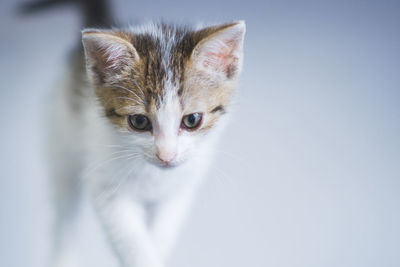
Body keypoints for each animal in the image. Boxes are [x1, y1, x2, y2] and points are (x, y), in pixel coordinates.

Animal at [27, 0, 244, 267]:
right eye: (139, 121)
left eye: (192, 120)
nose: (166, 156)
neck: (153, 176)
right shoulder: (106, 185)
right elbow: (132, 241)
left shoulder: (178, 192)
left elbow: (161, 235)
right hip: (61, 138)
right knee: (64, 214)